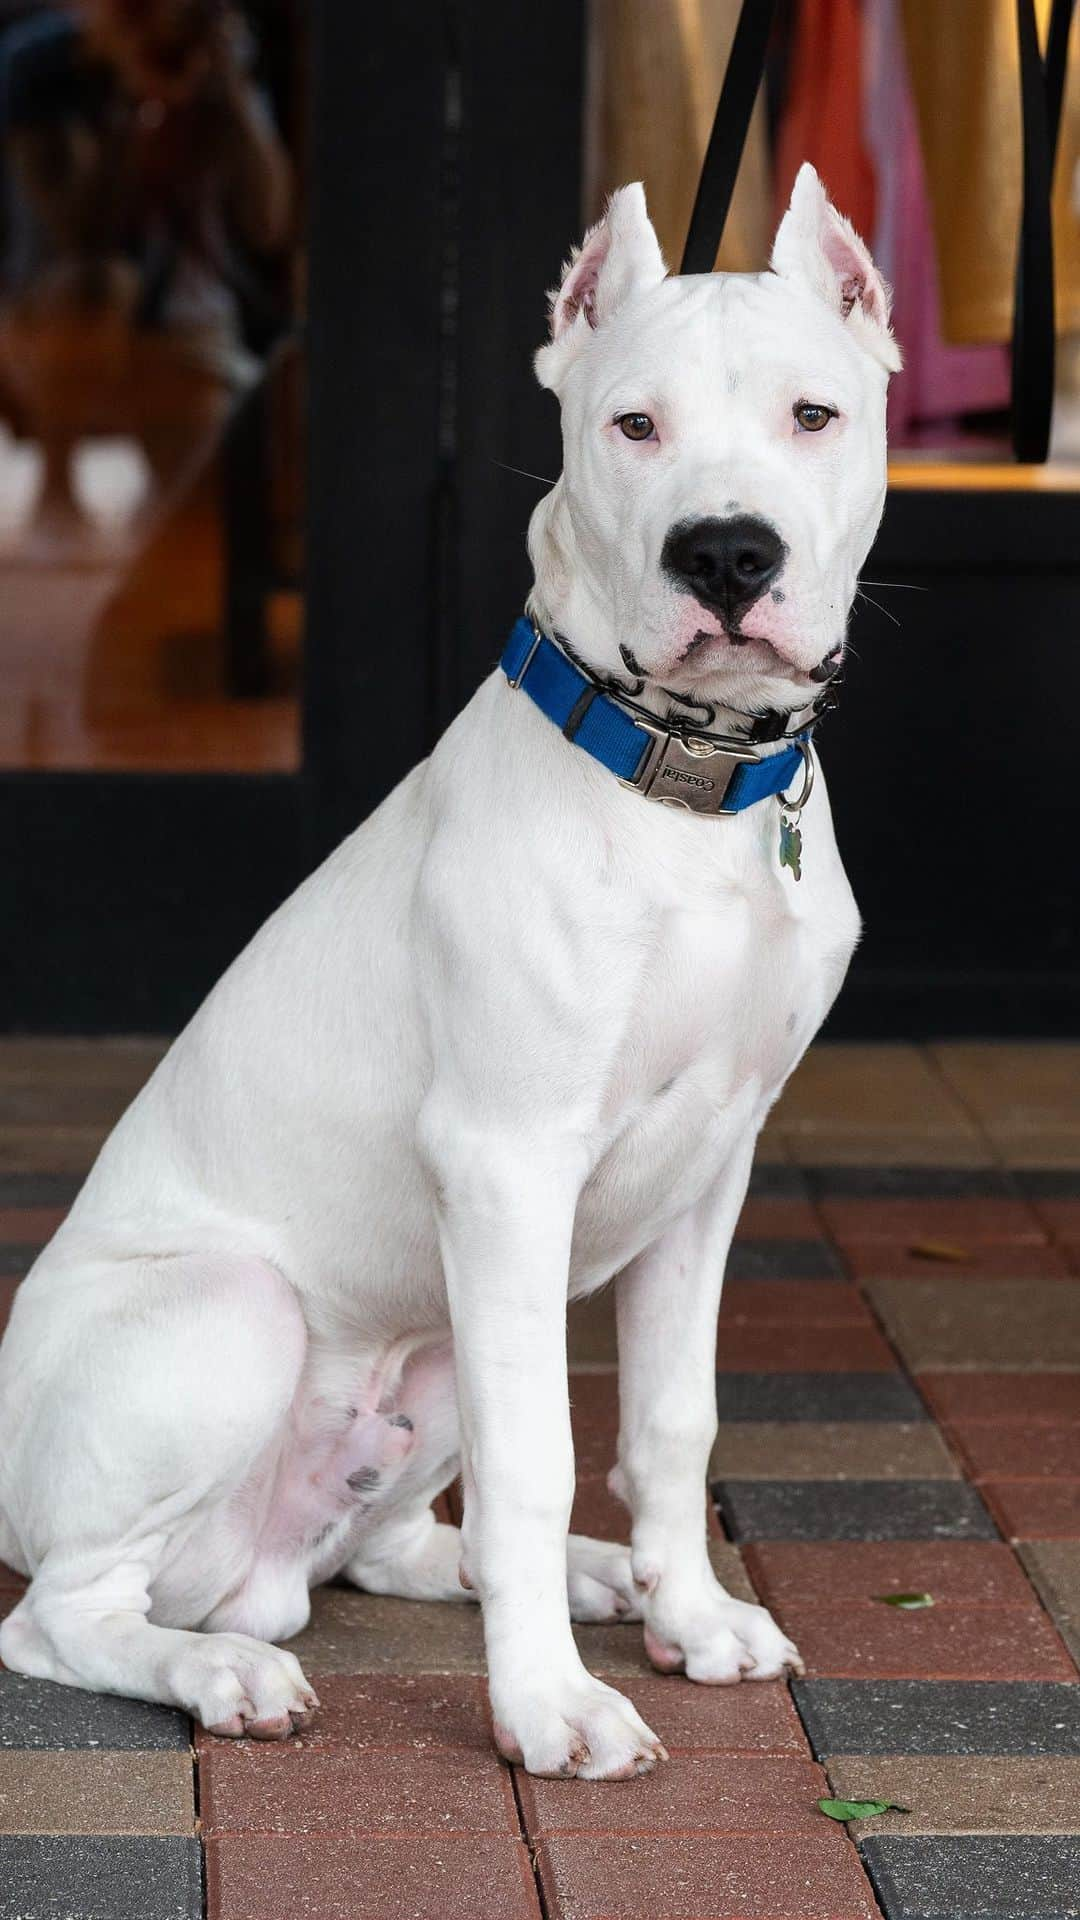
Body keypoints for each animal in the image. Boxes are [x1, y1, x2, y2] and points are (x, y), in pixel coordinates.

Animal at [0, 168, 891, 1781]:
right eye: (633, 425)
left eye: (815, 415)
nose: (727, 555)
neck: (686, 793)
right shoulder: (507, 1164)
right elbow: (543, 1457)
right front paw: (546, 1711)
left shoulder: (713, 1163)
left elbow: (672, 1421)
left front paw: (690, 1611)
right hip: (243, 1315)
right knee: (61, 1616)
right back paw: (219, 1670)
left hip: (437, 1348)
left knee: (396, 1543)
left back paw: (597, 1580)